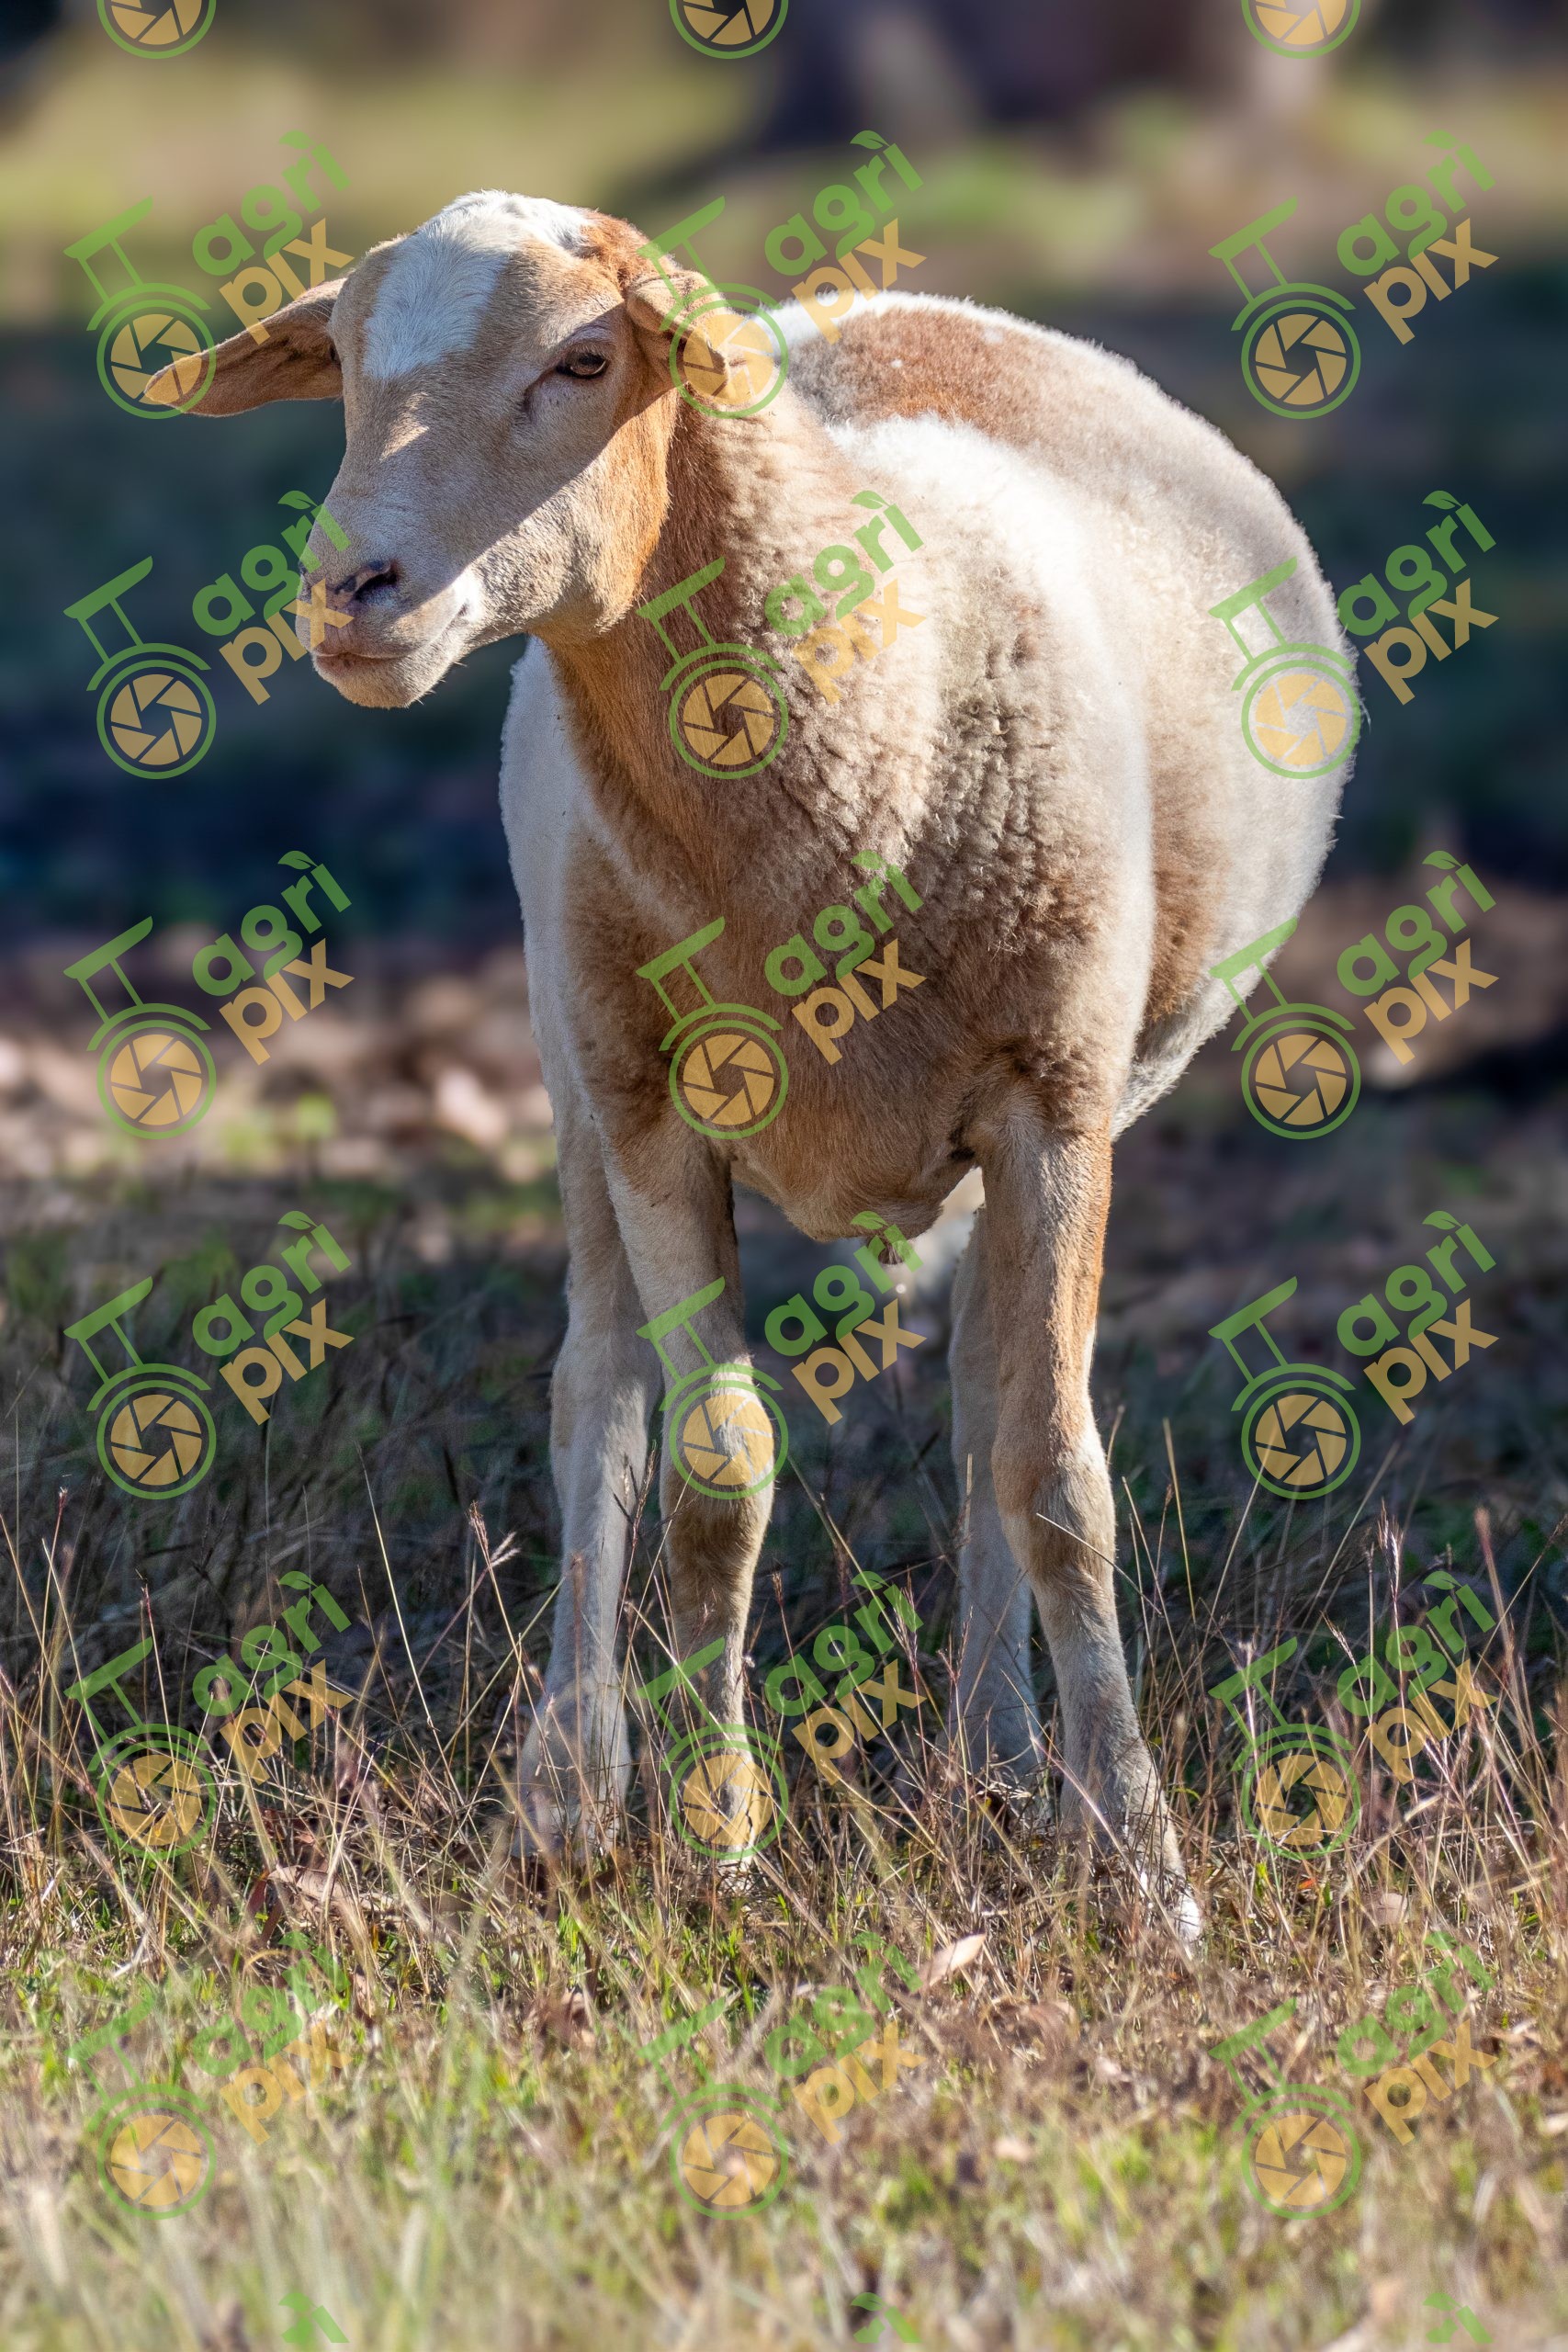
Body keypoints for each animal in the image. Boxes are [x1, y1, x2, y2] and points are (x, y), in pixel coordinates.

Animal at [162, 187, 1354, 1931]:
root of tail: (912, 308)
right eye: (346, 365)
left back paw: (994, 1770)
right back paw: (566, 1797)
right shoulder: (656, 1105)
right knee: (596, 1394)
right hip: (568, 1050)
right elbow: (714, 1468)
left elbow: (1055, 1482)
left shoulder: (1057, 1107)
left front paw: (1142, 1870)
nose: (350, 593)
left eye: (585, 361)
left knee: (985, 1408)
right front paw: (715, 1843)